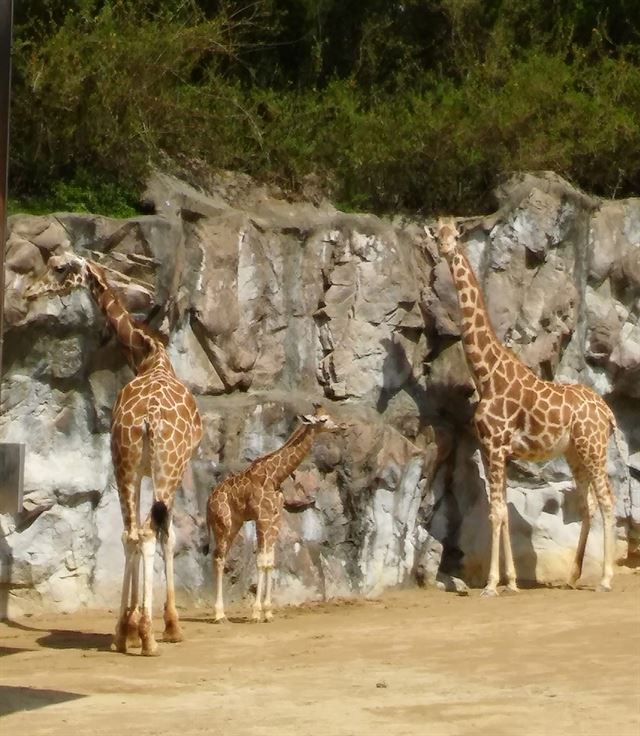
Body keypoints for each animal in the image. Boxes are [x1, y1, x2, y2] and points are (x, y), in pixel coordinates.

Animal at [26, 254, 201, 656]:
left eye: (59, 267)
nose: (28, 291)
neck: (149, 355)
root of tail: (149, 419)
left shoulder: (136, 469)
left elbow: (137, 534)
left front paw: (132, 625)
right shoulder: (169, 469)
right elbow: (166, 535)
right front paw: (168, 625)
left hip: (124, 462)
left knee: (130, 534)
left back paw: (124, 633)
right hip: (165, 468)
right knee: (148, 534)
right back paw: (149, 637)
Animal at [208, 406, 342, 624]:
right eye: (323, 419)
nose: (341, 426)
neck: (275, 476)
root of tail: (209, 500)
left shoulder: (276, 518)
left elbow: (270, 561)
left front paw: (268, 612)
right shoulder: (262, 517)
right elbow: (261, 561)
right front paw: (256, 612)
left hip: (235, 524)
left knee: (221, 556)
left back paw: (222, 613)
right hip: (222, 524)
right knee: (218, 558)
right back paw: (219, 615)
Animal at [428, 218, 624, 600]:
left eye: (456, 234)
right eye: (438, 232)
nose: (444, 248)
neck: (487, 374)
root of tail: (607, 412)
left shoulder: (495, 446)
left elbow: (495, 512)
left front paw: (492, 584)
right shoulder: (493, 449)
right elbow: (501, 510)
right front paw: (511, 581)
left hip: (594, 447)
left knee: (608, 501)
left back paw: (606, 579)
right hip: (575, 452)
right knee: (588, 504)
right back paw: (574, 576)